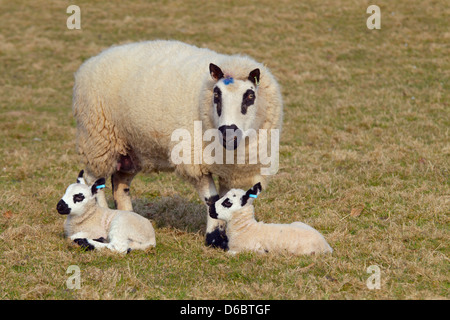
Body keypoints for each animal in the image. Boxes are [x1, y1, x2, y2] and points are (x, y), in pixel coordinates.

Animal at [72, 40, 284, 250]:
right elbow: (212, 200)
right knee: (92, 179)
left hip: (131, 149)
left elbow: (225, 199)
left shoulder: (230, 168)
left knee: (120, 184)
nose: (228, 132)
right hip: (98, 140)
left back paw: (127, 216)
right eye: (216, 95)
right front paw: (214, 238)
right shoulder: (194, 160)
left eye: (250, 96)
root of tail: (92, 60)